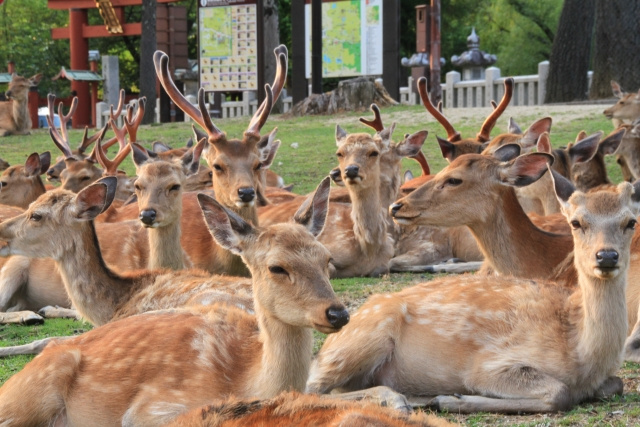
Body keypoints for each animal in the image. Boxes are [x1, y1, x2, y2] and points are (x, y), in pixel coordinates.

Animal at [308, 171, 639, 414]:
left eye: (630, 222)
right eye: (576, 222)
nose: (606, 256)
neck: (581, 352)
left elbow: (615, 384)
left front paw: (445, 398)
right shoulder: (489, 364)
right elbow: (559, 392)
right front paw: (451, 399)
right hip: (363, 338)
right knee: (308, 387)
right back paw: (397, 400)